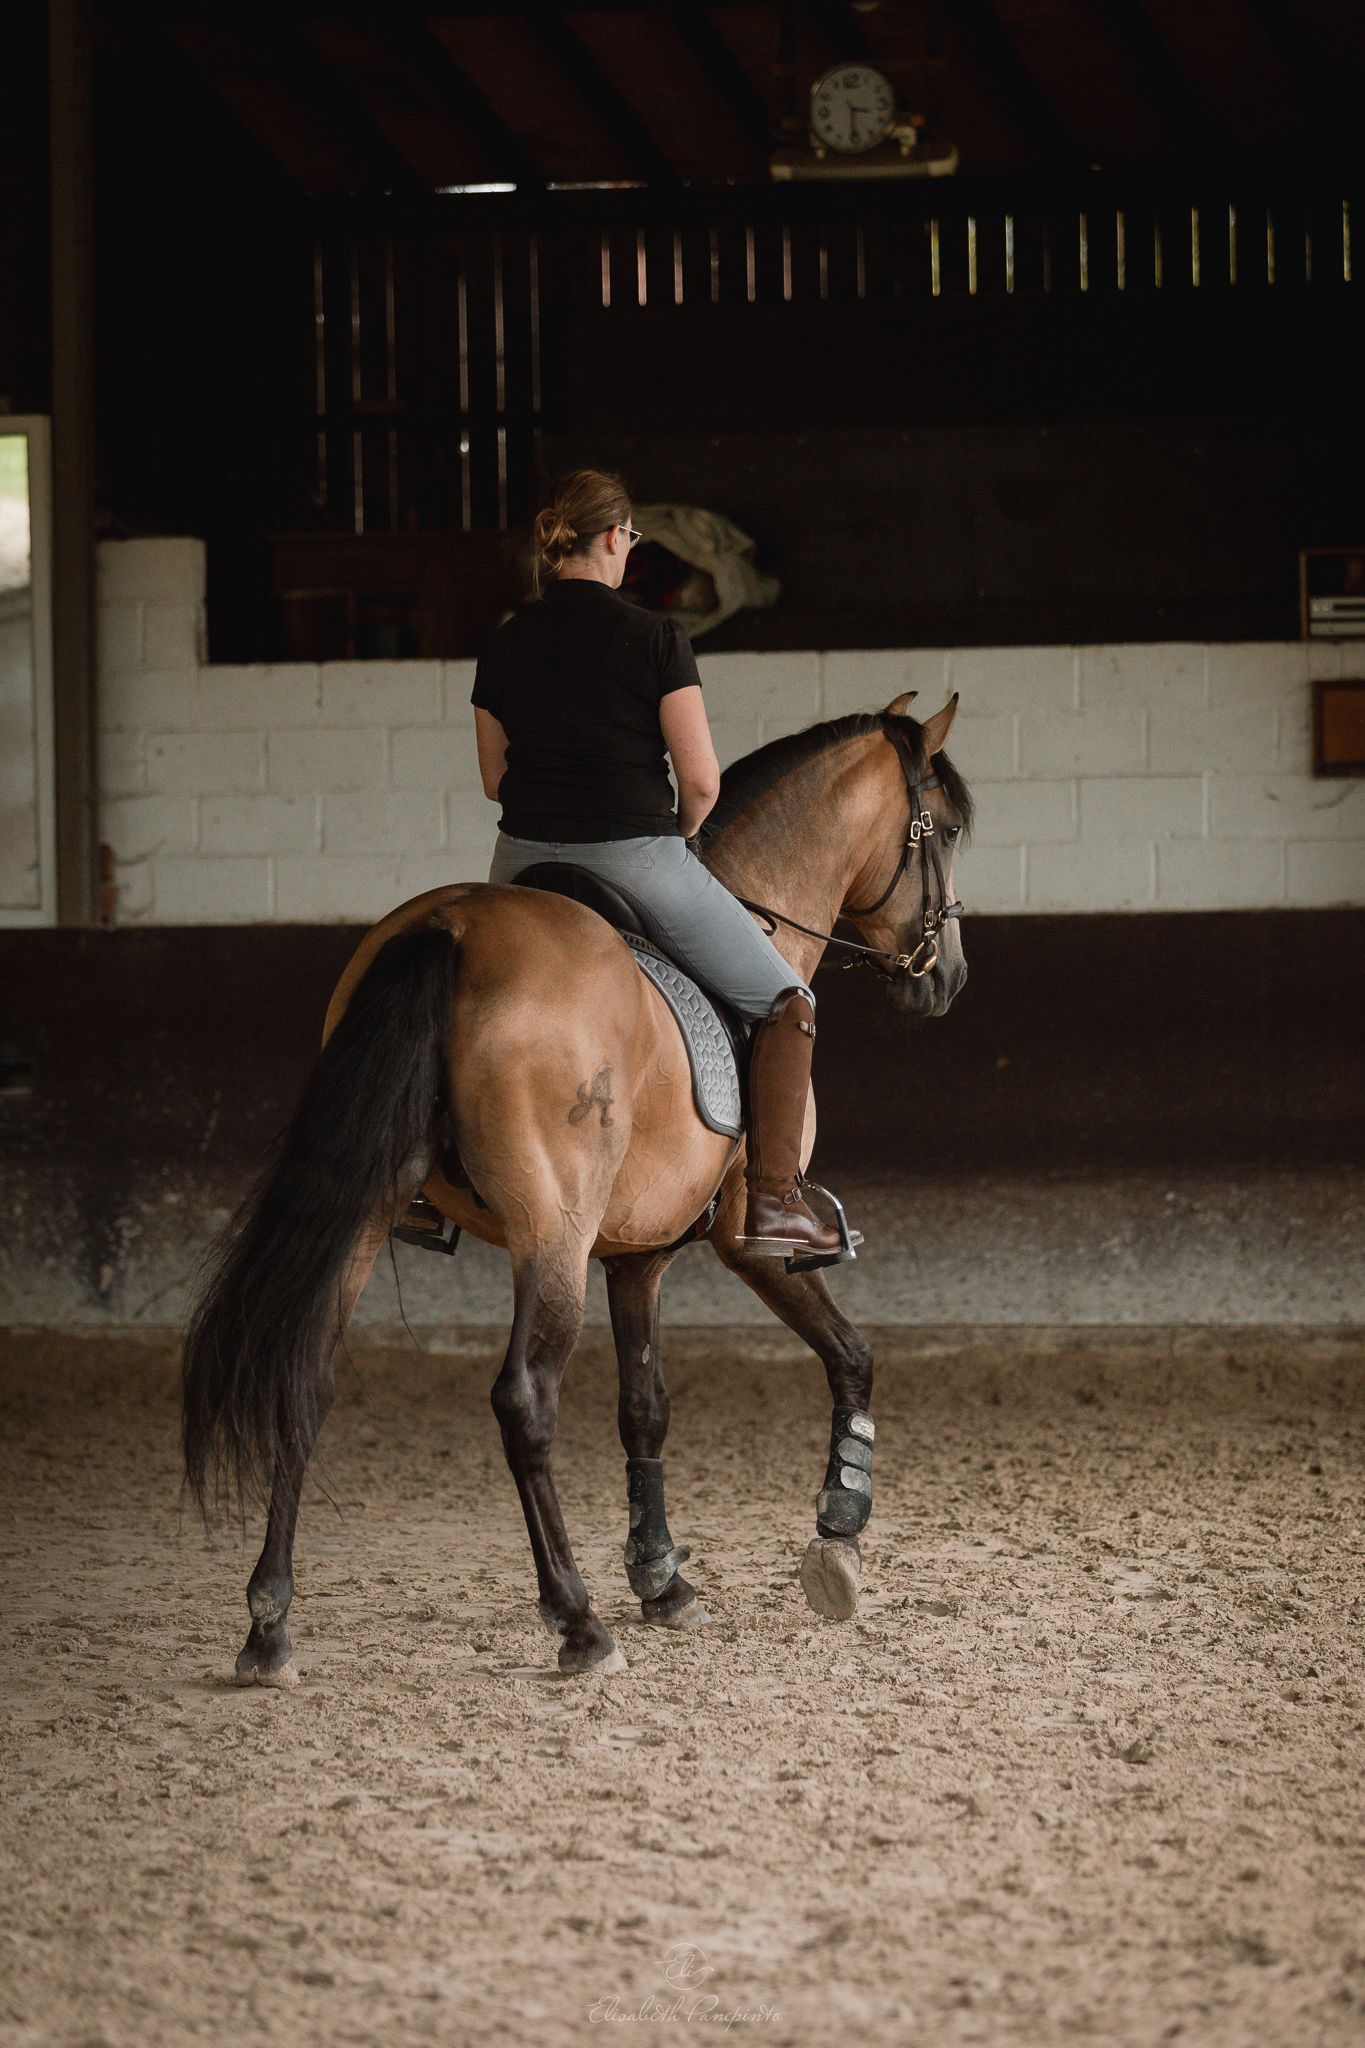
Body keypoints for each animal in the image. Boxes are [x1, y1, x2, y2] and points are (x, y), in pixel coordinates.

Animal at [182, 690, 972, 1681]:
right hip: (550, 1231)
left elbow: (645, 1410)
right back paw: (578, 1622)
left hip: (367, 1211)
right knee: (524, 1399)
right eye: (946, 828)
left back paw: (269, 1626)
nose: (947, 977)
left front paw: (662, 1578)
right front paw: (839, 1531)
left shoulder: (637, 1255)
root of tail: (451, 928)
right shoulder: (741, 1239)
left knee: (308, 1370)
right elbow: (850, 1355)